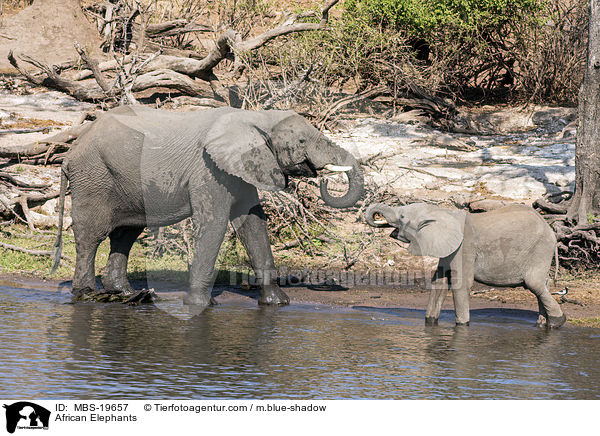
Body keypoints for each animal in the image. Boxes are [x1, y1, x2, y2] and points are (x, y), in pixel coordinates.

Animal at [51, 105, 364, 310]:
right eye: (301, 141)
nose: (324, 179)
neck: (255, 116)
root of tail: (70, 152)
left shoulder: (240, 168)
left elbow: (253, 224)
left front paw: (277, 304)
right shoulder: (208, 170)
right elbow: (214, 223)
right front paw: (200, 305)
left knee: (126, 233)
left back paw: (124, 292)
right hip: (93, 176)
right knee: (91, 235)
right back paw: (87, 294)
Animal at [364, 203, 564, 328]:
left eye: (402, 216)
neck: (441, 212)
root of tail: (550, 229)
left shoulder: (464, 247)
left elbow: (461, 284)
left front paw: (462, 325)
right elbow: (439, 282)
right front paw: (430, 322)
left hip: (540, 249)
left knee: (534, 284)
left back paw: (558, 322)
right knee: (542, 287)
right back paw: (541, 324)